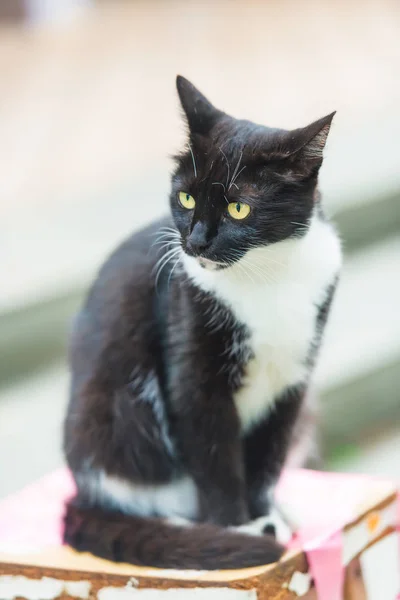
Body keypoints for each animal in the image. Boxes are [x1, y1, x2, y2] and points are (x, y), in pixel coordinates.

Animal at [63, 76, 340, 572]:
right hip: (112, 421)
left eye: (238, 209)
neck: (266, 275)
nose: (194, 242)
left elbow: (268, 456)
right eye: (186, 196)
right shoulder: (193, 370)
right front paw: (237, 527)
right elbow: (214, 458)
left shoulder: (293, 379)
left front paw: (264, 512)